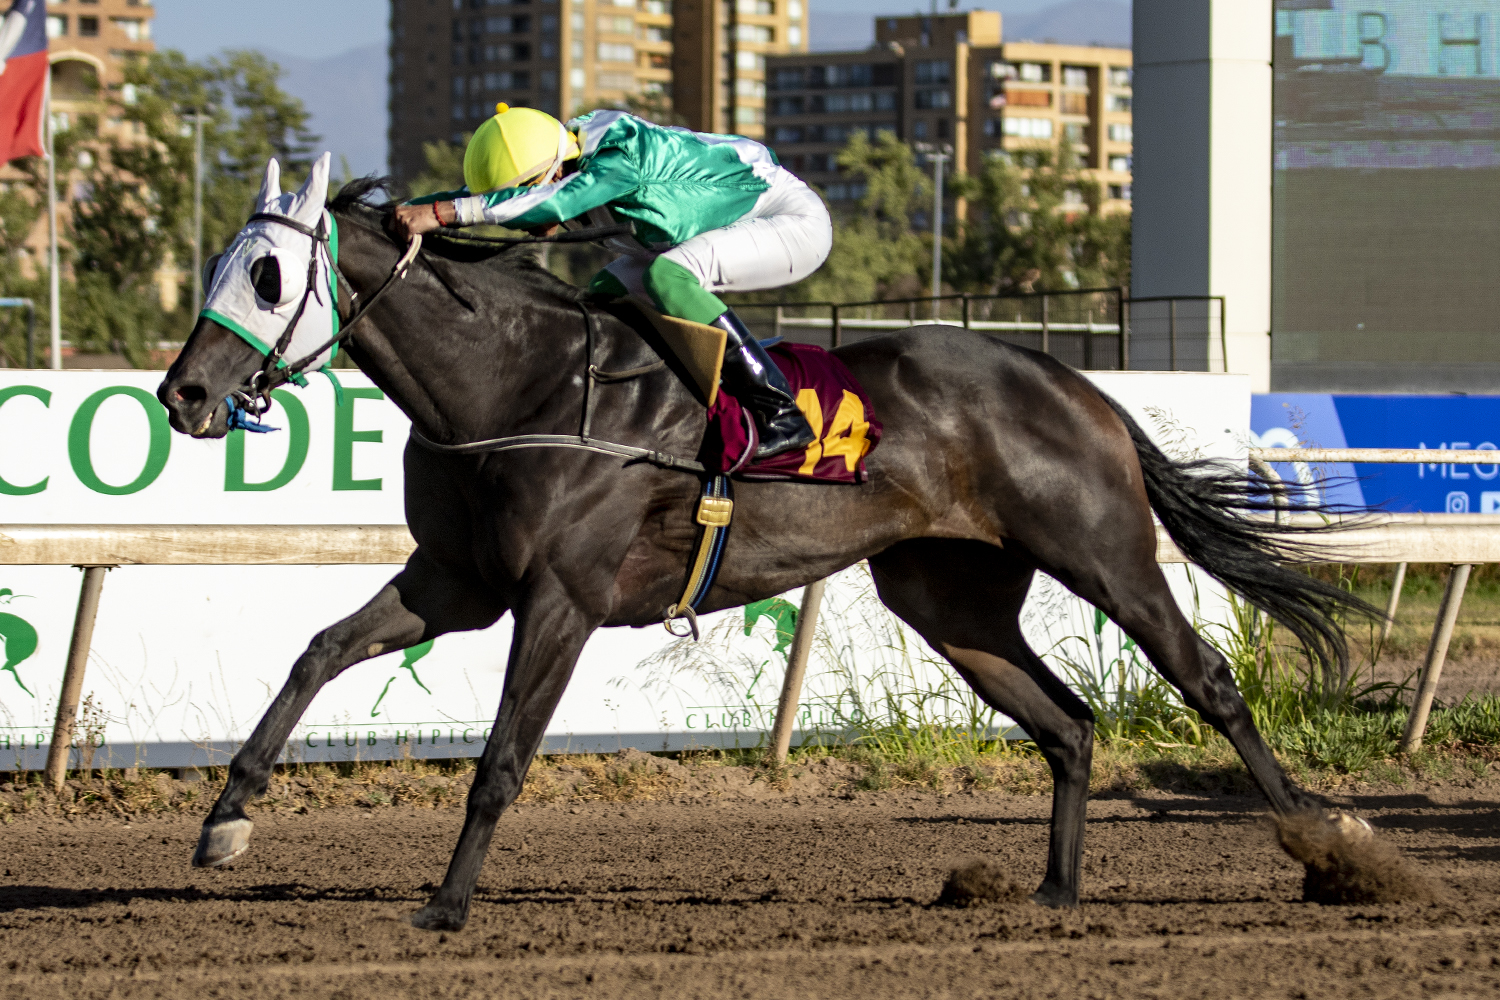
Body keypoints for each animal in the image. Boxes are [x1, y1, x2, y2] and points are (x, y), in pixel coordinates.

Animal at [156, 163, 1386, 932]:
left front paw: (447, 904)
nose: (185, 395)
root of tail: (1070, 379)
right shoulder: (456, 582)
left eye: (267, 276)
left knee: (1208, 679)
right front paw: (226, 820)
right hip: (950, 600)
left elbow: (502, 759)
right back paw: (1051, 892)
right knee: (1069, 724)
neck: (519, 384)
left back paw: (1327, 846)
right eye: (216, 266)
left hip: (1106, 554)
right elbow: (317, 653)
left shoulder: (560, 596)